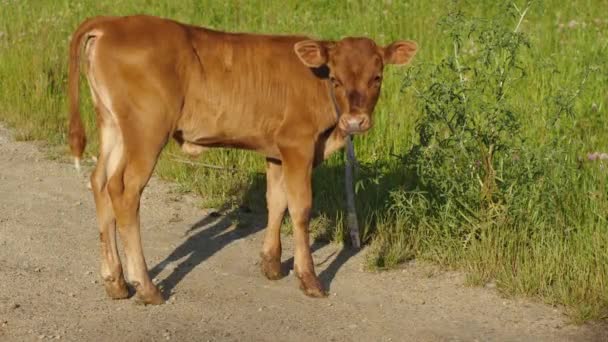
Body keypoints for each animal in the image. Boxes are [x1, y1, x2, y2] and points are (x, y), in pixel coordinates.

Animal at [69, 14, 416, 304]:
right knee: (124, 191)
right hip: (147, 131)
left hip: (112, 125)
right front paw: (308, 278)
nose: (355, 121)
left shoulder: (277, 152)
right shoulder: (298, 145)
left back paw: (116, 282)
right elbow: (300, 209)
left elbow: (276, 202)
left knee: (99, 182)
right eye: (336, 79)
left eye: (377, 77)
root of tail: (112, 22)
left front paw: (272, 264)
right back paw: (146, 286)